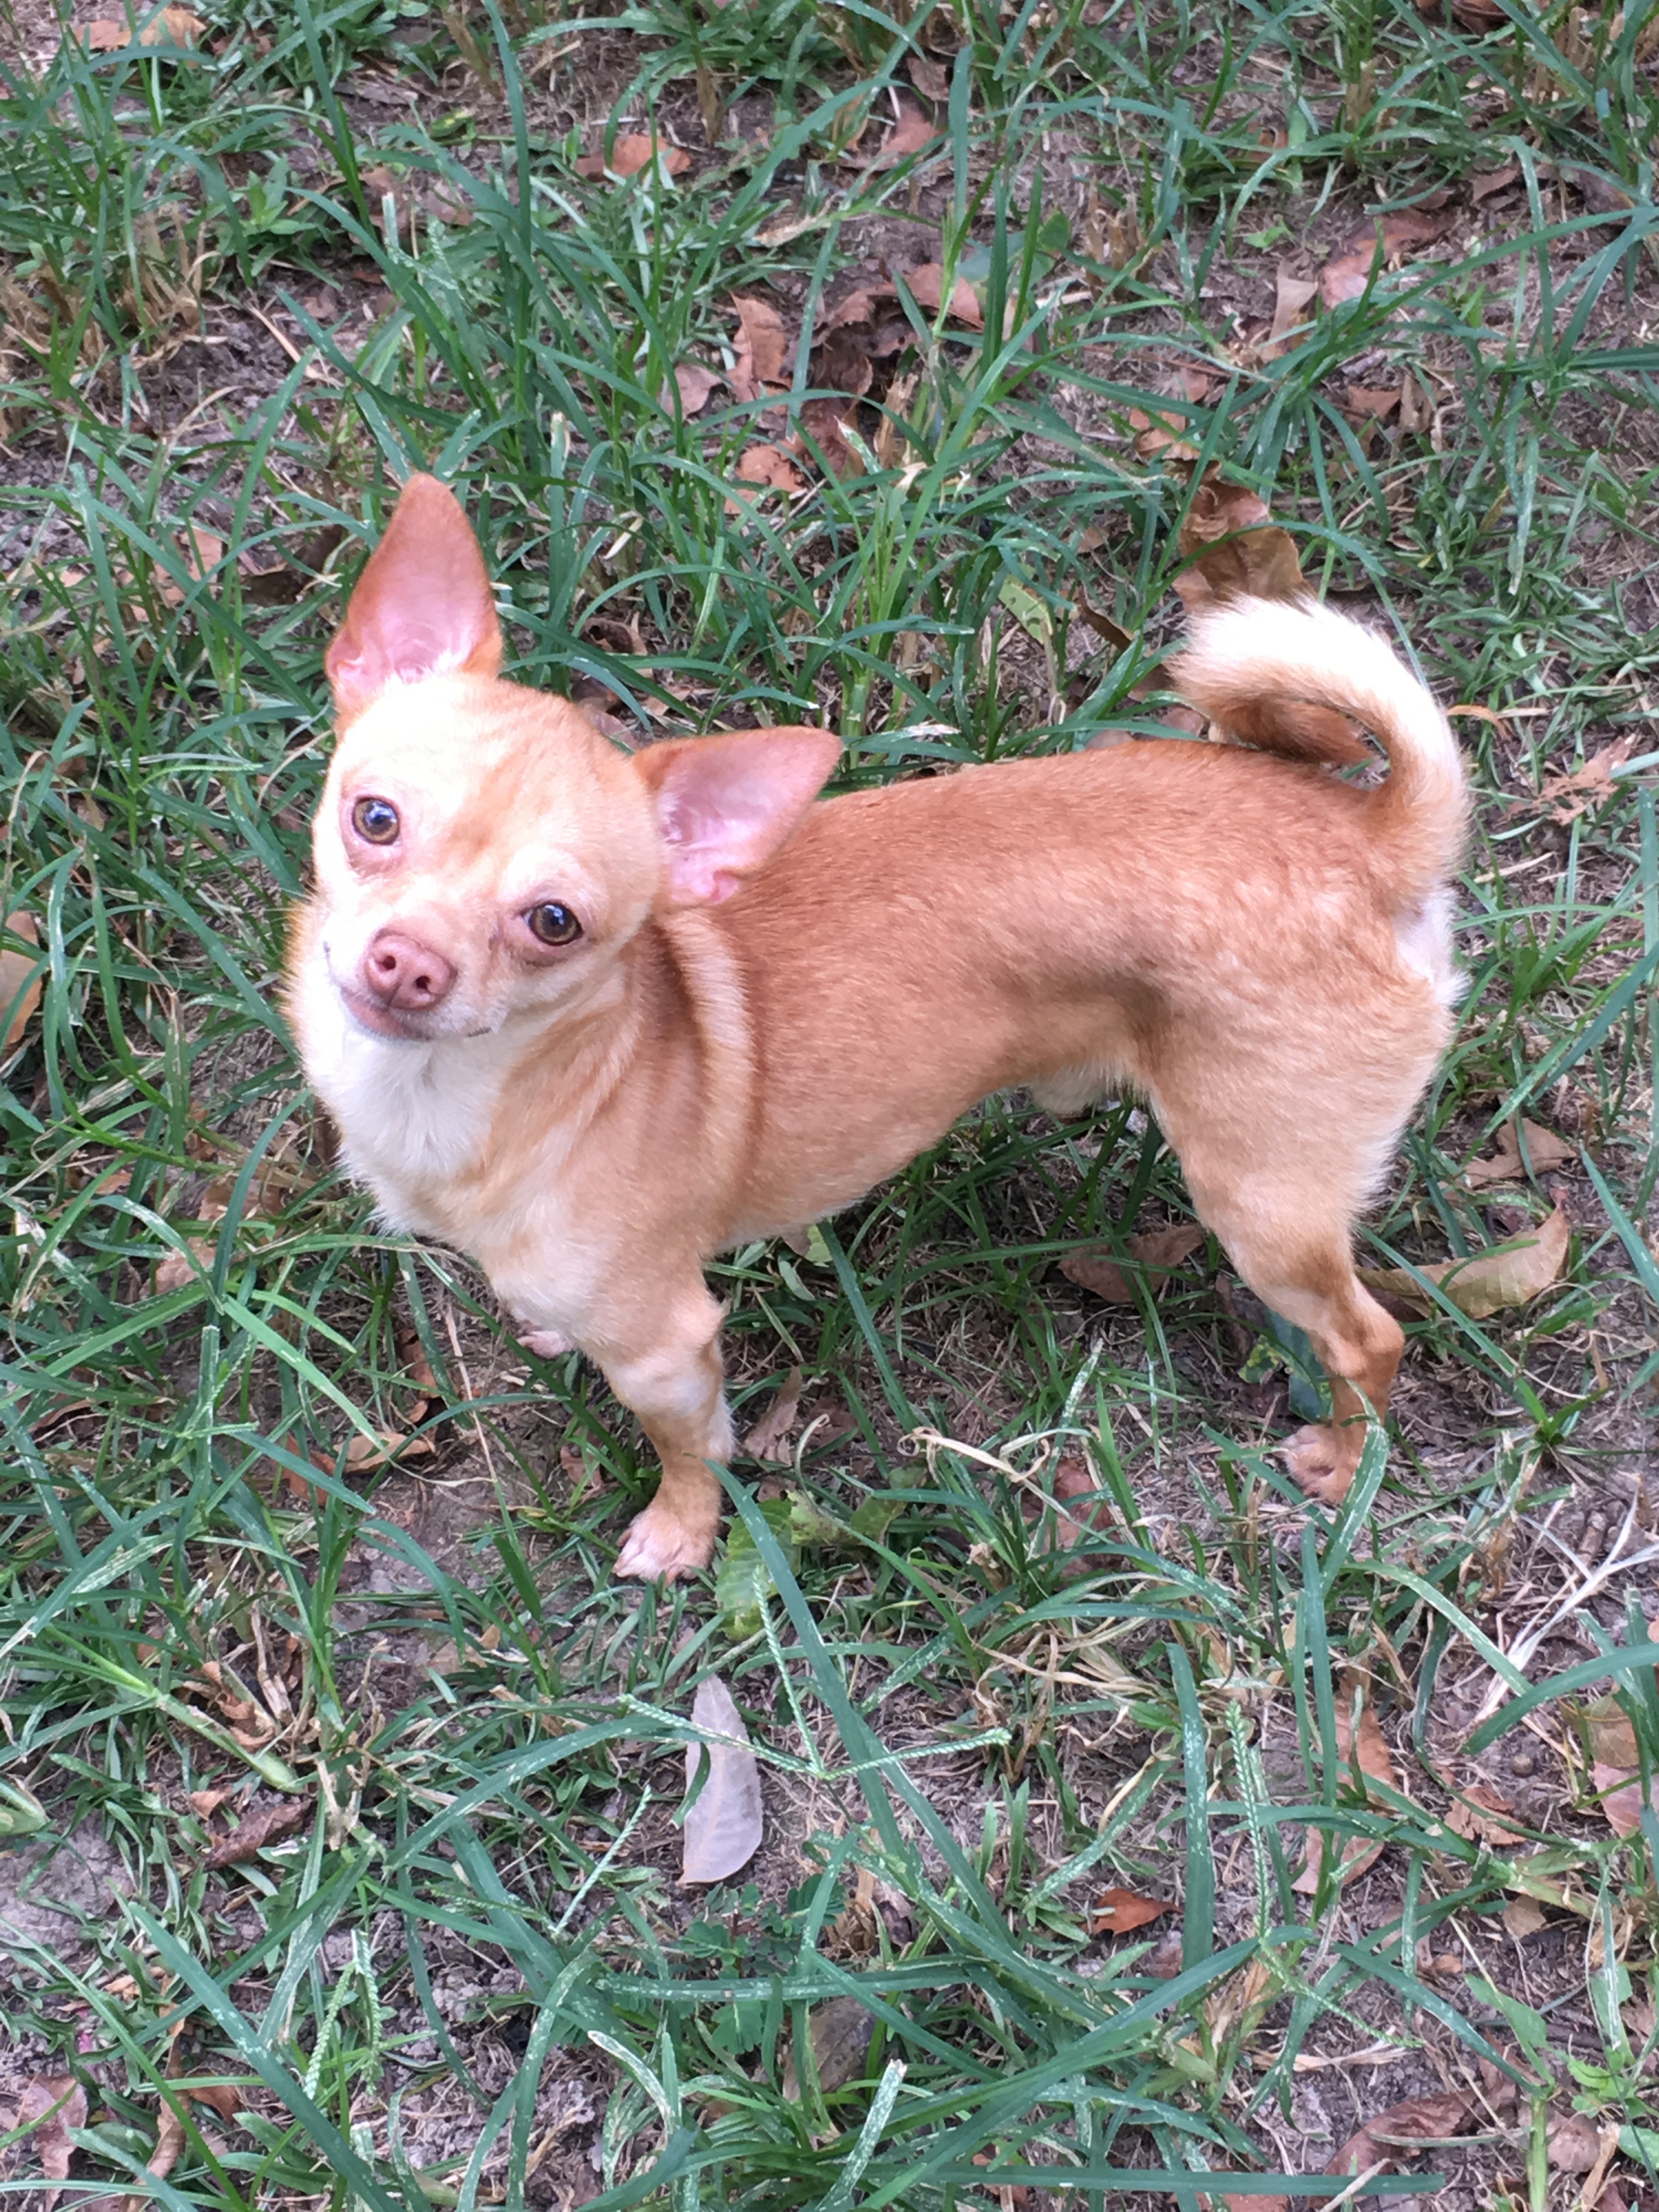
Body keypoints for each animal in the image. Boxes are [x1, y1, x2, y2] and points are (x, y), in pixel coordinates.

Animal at [290, 471, 1469, 1575]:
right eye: (373, 819)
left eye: (552, 924)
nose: (407, 964)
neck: (445, 1095)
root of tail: (1367, 841)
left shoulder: (666, 1347)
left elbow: (690, 1449)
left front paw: (681, 1535)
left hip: (1261, 1205)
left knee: (1369, 1336)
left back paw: (1345, 1464)